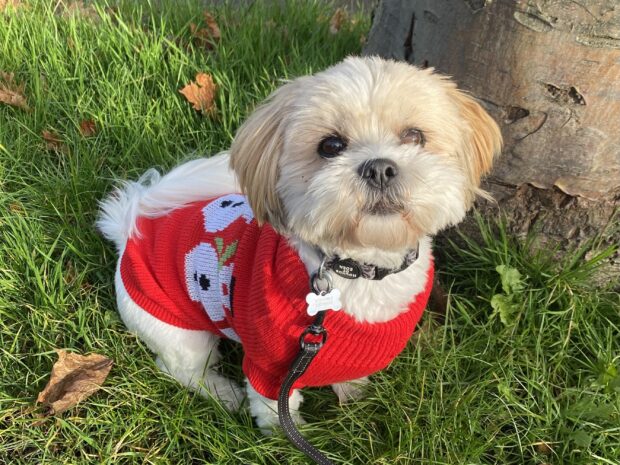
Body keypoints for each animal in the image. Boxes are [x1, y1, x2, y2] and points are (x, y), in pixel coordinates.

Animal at [98, 57, 504, 432]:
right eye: (331, 145)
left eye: (415, 136)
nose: (379, 168)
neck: (362, 270)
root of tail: (129, 227)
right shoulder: (271, 366)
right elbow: (276, 410)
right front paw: (283, 441)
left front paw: (354, 392)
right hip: (179, 333)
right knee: (181, 368)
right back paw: (222, 393)